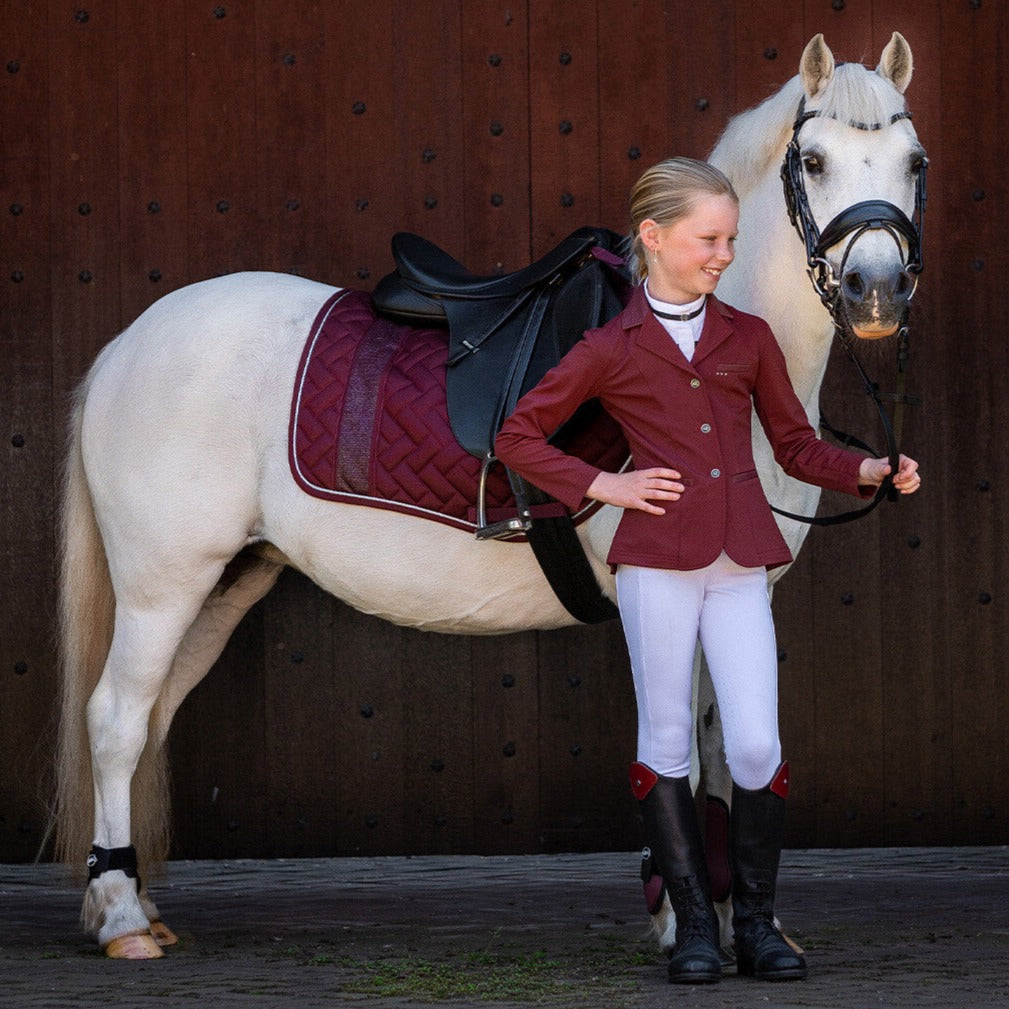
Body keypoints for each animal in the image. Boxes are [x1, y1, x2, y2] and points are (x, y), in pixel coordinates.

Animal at [53, 33, 924, 960]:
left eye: (913, 162)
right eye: (812, 159)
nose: (875, 290)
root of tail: (127, 345)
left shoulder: (737, 590)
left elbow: (727, 748)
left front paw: (733, 918)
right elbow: (678, 749)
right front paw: (681, 917)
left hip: (227, 580)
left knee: (152, 718)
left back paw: (139, 903)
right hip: (163, 583)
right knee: (115, 719)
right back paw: (120, 914)